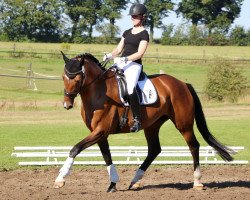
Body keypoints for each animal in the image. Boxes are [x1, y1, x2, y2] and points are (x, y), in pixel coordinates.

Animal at [53, 51, 234, 192]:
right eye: (63, 77)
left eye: (77, 79)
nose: (67, 105)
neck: (99, 93)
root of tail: (182, 83)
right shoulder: (99, 133)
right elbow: (107, 156)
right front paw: (113, 184)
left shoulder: (101, 131)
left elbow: (75, 149)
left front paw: (60, 179)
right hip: (152, 125)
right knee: (154, 149)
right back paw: (135, 180)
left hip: (183, 124)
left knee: (193, 146)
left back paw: (197, 182)